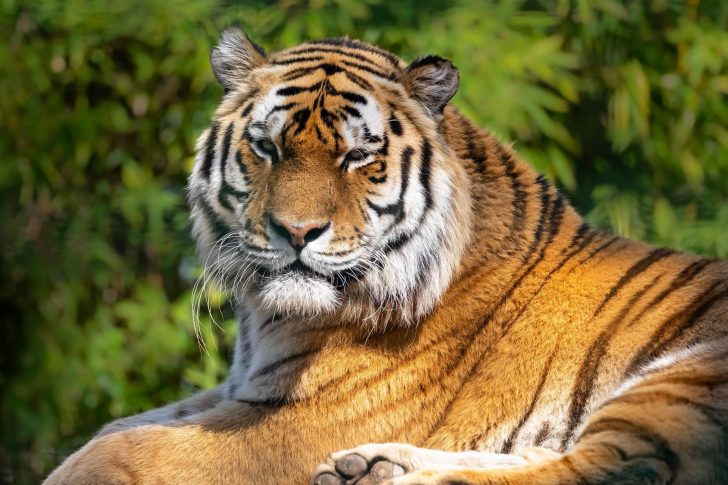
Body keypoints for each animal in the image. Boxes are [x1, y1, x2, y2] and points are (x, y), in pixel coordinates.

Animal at [44, 28, 728, 484]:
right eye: (267, 148)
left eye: (357, 157)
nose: (296, 231)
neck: (267, 321)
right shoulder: (239, 391)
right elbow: (114, 428)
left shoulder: (300, 423)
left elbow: (115, 450)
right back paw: (371, 466)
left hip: (683, 379)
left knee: (612, 467)